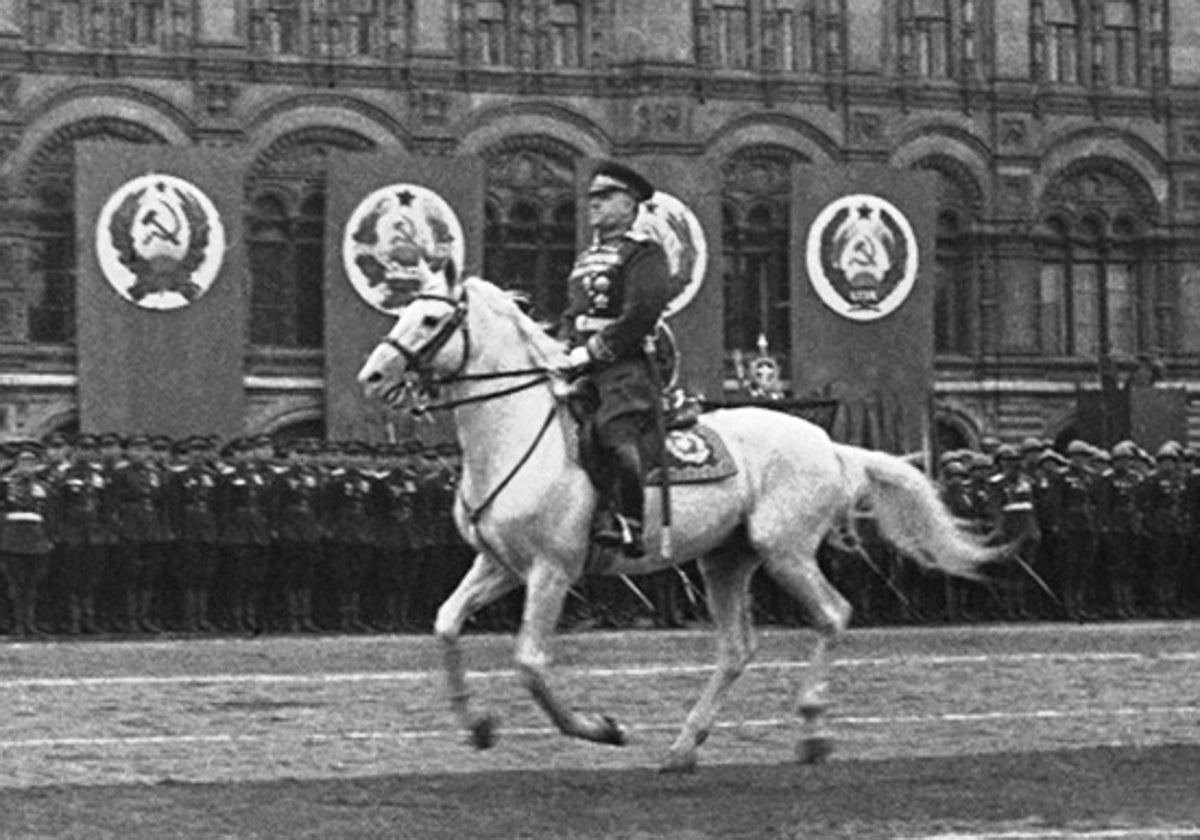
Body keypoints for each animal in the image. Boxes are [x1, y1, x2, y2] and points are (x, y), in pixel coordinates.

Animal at [355, 265, 1003, 772]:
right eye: (405, 310)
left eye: (430, 321)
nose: (373, 376)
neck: (516, 434)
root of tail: (828, 442)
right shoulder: (499, 564)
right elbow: (445, 624)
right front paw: (478, 725)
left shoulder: (551, 570)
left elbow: (531, 664)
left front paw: (601, 728)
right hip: (727, 559)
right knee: (738, 647)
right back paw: (685, 747)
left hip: (785, 550)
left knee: (833, 614)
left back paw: (812, 730)